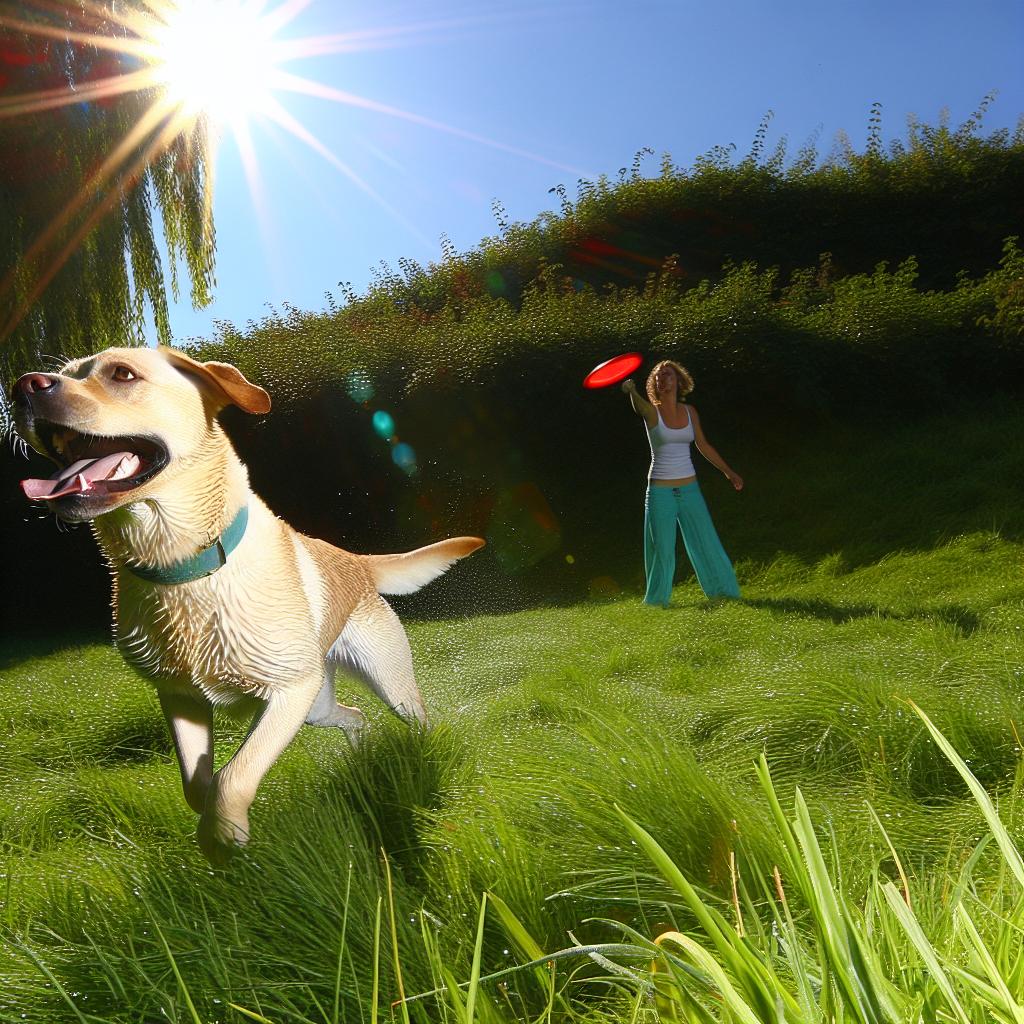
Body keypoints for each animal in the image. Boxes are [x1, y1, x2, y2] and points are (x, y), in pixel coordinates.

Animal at [11, 350, 483, 864]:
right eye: (64, 371)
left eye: (122, 374)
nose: (24, 385)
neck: (184, 570)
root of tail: (355, 561)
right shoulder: (179, 698)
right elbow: (198, 785)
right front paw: (214, 834)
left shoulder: (289, 691)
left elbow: (232, 776)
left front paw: (224, 836)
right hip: (319, 705)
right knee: (355, 715)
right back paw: (359, 750)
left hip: (380, 682)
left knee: (418, 719)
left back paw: (424, 758)